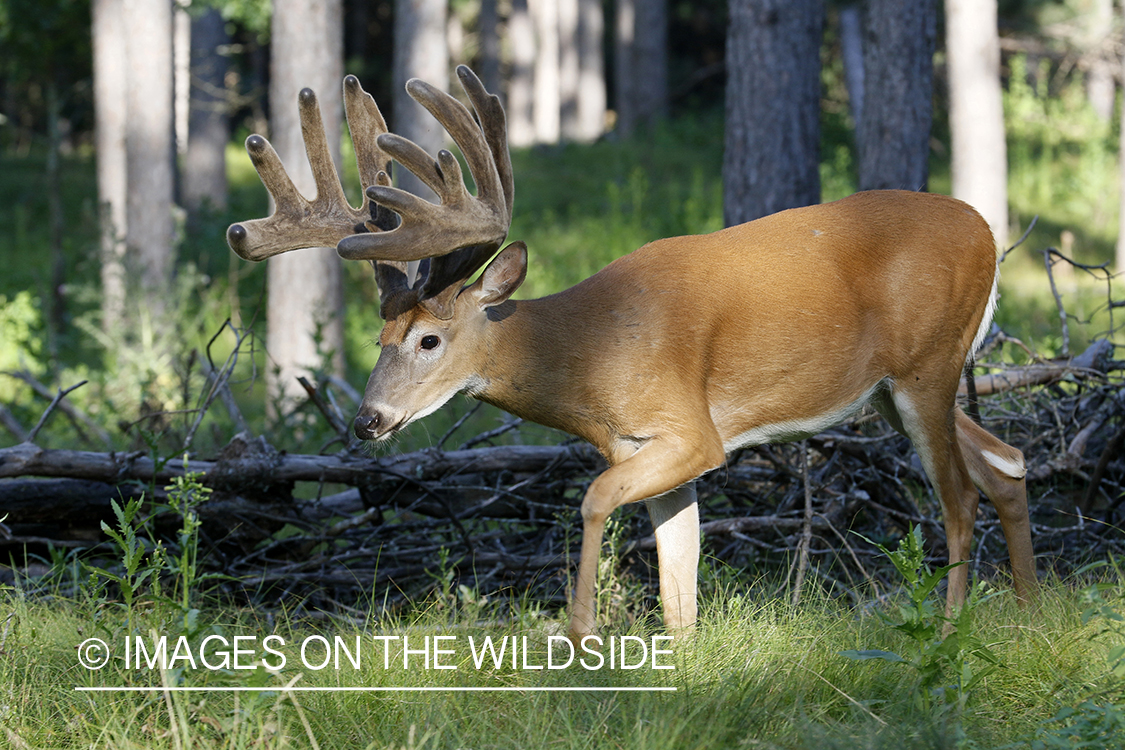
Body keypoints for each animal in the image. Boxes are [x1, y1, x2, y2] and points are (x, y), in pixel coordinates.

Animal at [226, 66, 1035, 638]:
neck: (589, 353)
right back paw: (1029, 610)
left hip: (925, 368)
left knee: (960, 496)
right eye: (380, 338)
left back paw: (949, 627)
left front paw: (580, 637)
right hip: (891, 392)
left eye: (430, 339)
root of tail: (985, 231)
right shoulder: (643, 448)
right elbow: (679, 583)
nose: (367, 420)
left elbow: (590, 502)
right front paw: (680, 665)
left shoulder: (691, 432)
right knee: (1006, 462)